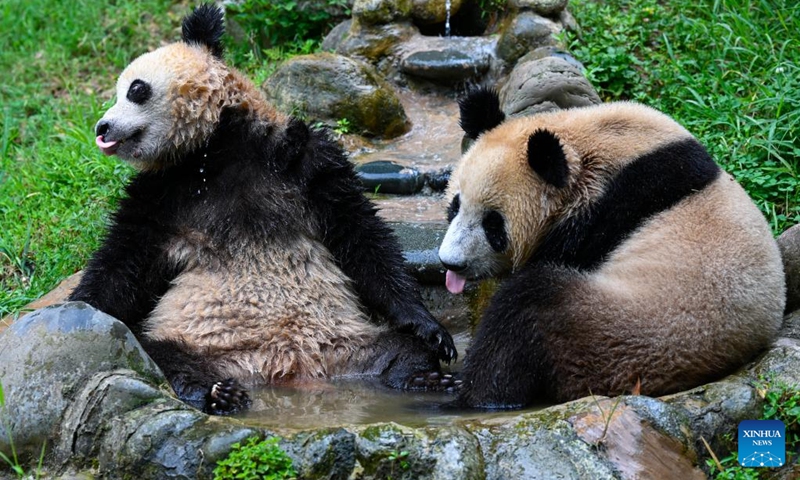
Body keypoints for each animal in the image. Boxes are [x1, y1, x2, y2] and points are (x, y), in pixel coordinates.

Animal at [69, 4, 456, 415]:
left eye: (136, 89)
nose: (102, 127)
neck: (212, 148)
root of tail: (282, 364)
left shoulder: (302, 158)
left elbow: (359, 235)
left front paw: (429, 328)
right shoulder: (160, 194)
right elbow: (122, 268)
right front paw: (79, 312)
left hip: (345, 339)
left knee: (399, 349)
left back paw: (422, 377)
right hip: (197, 339)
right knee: (161, 354)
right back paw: (217, 392)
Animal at [438, 87, 785, 409]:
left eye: (493, 225)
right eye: (455, 207)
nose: (451, 262)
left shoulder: (599, 216)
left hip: (620, 335)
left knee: (526, 309)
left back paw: (469, 393)